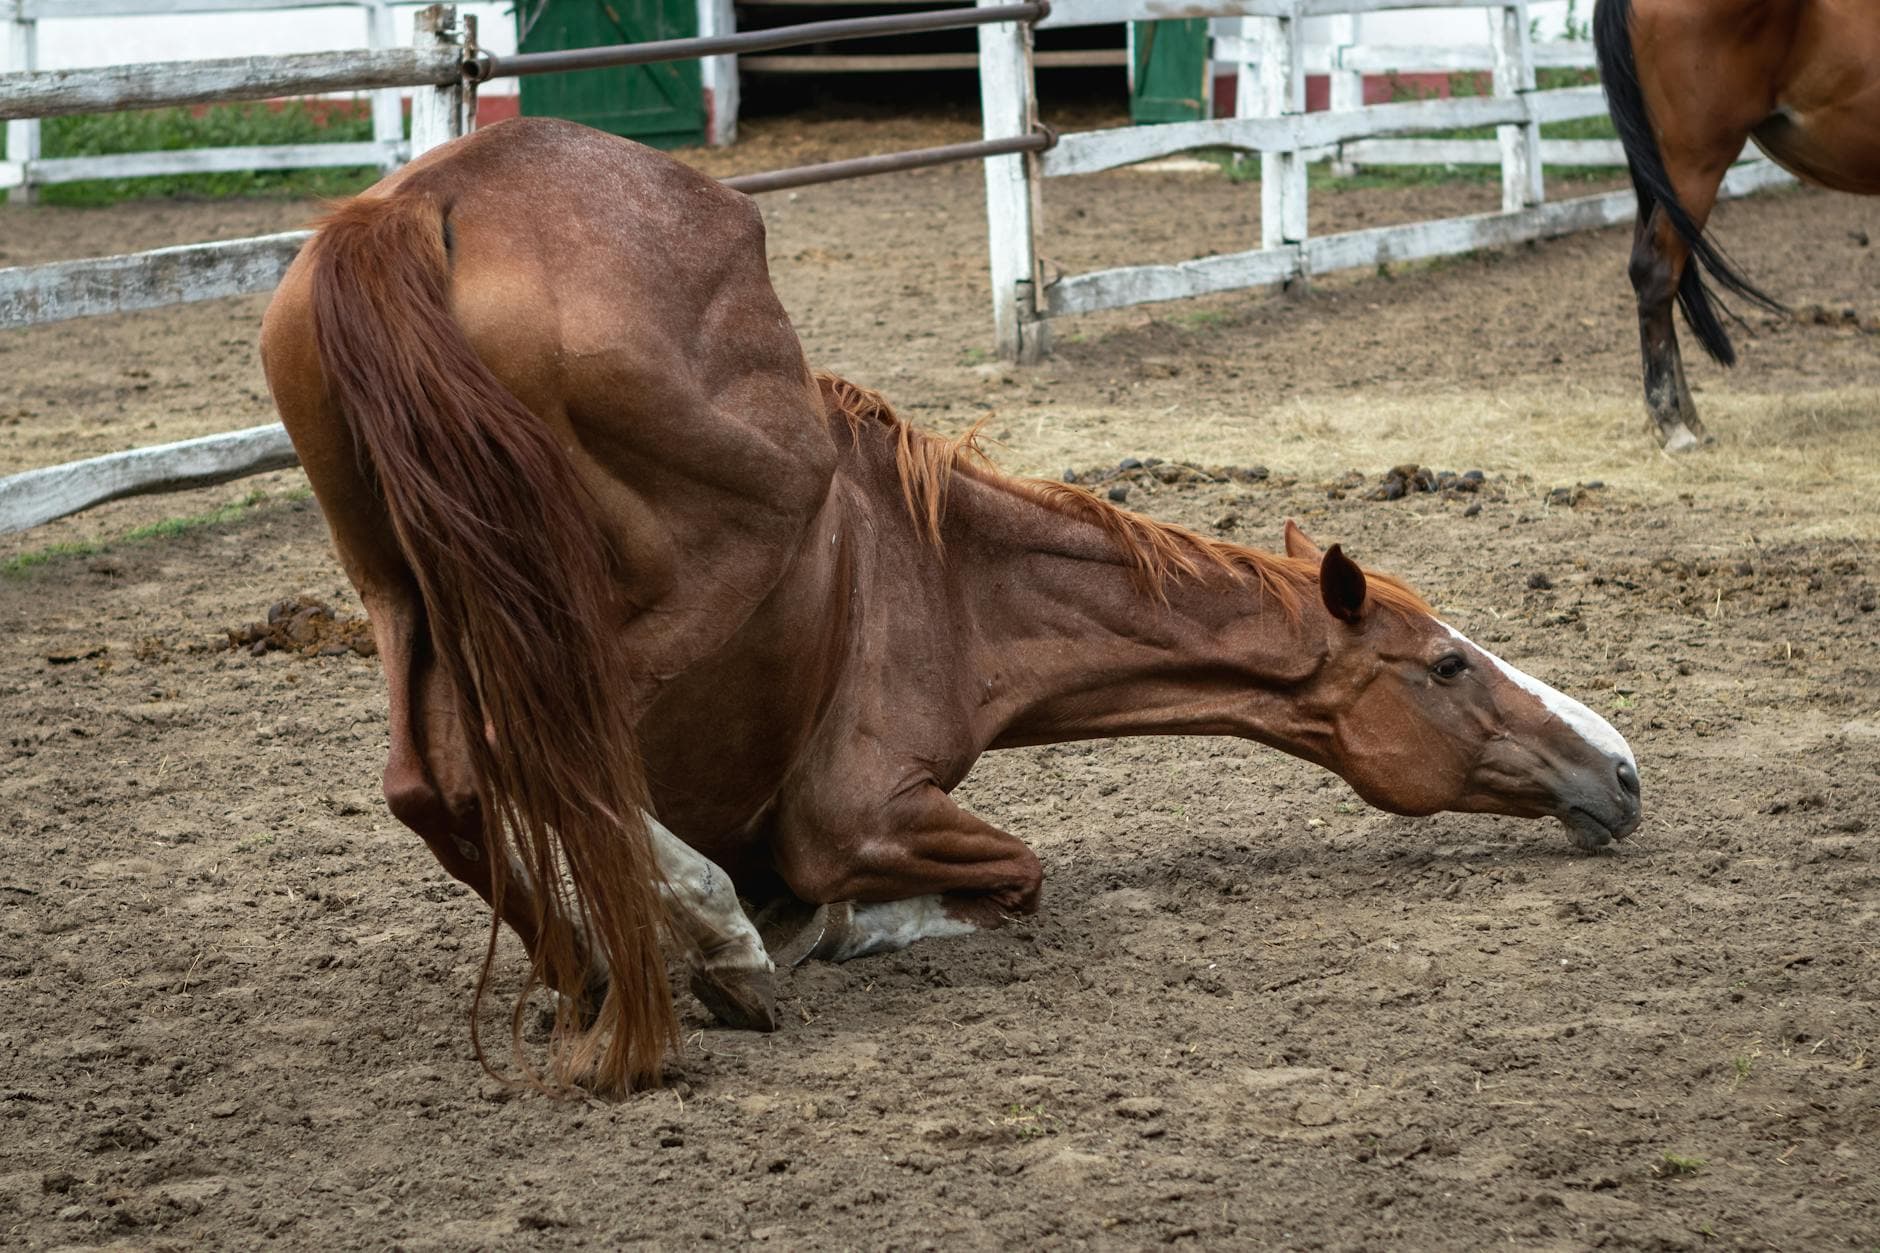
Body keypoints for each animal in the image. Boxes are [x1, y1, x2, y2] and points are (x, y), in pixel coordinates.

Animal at [259, 116, 1643, 1095]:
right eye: (1447, 663)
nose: (1620, 770)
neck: (941, 572)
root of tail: (414, 205)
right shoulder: (855, 807)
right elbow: (1010, 874)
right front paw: (803, 927)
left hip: (403, 593)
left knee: (435, 784)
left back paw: (603, 975)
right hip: (675, 572)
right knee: (529, 753)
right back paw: (707, 955)